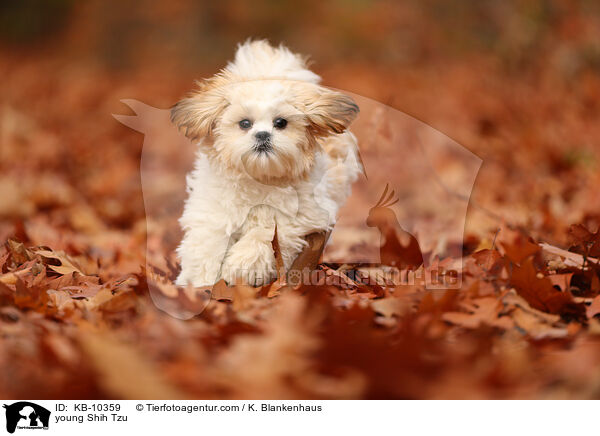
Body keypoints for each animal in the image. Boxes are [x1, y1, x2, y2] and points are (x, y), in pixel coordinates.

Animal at [172, 39, 360, 288]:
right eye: (245, 123)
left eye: (280, 123)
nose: (262, 134)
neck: (259, 179)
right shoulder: (213, 211)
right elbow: (208, 242)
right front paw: (200, 281)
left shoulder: (302, 216)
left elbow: (264, 234)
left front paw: (239, 266)